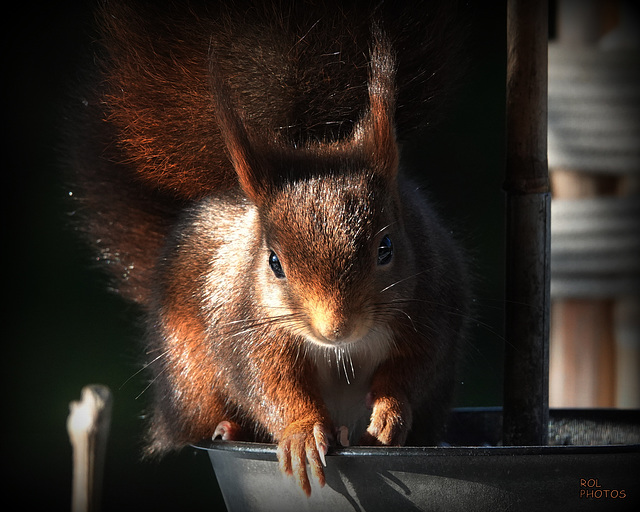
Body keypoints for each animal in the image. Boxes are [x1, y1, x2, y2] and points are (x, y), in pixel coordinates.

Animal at [67, 0, 470, 496]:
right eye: (274, 262)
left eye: (386, 247)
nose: (336, 328)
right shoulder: (245, 323)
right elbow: (268, 382)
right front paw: (300, 431)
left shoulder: (431, 306)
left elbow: (414, 368)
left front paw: (391, 413)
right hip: (189, 372)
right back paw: (232, 428)